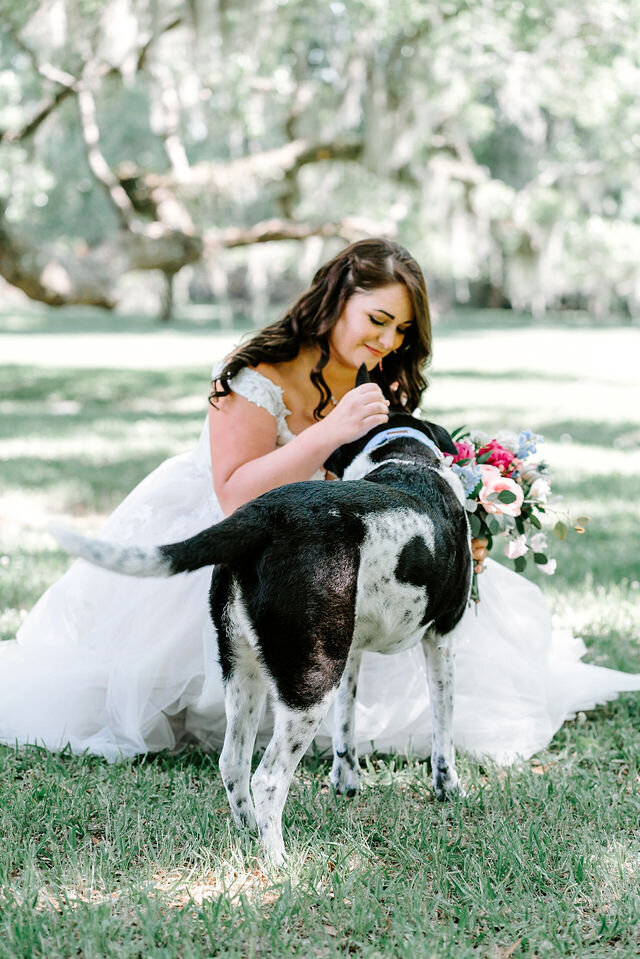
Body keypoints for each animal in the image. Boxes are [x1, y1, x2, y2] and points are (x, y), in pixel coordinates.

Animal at [53, 372, 470, 868]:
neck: (403, 455)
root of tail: (264, 514)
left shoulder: (351, 654)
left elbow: (347, 726)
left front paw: (346, 782)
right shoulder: (443, 638)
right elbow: (443, 725)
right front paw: (449, 789)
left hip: (250, 668)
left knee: (233, 762)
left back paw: (249, 834)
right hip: (310, 682)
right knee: (268, 778)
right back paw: (280, 864)